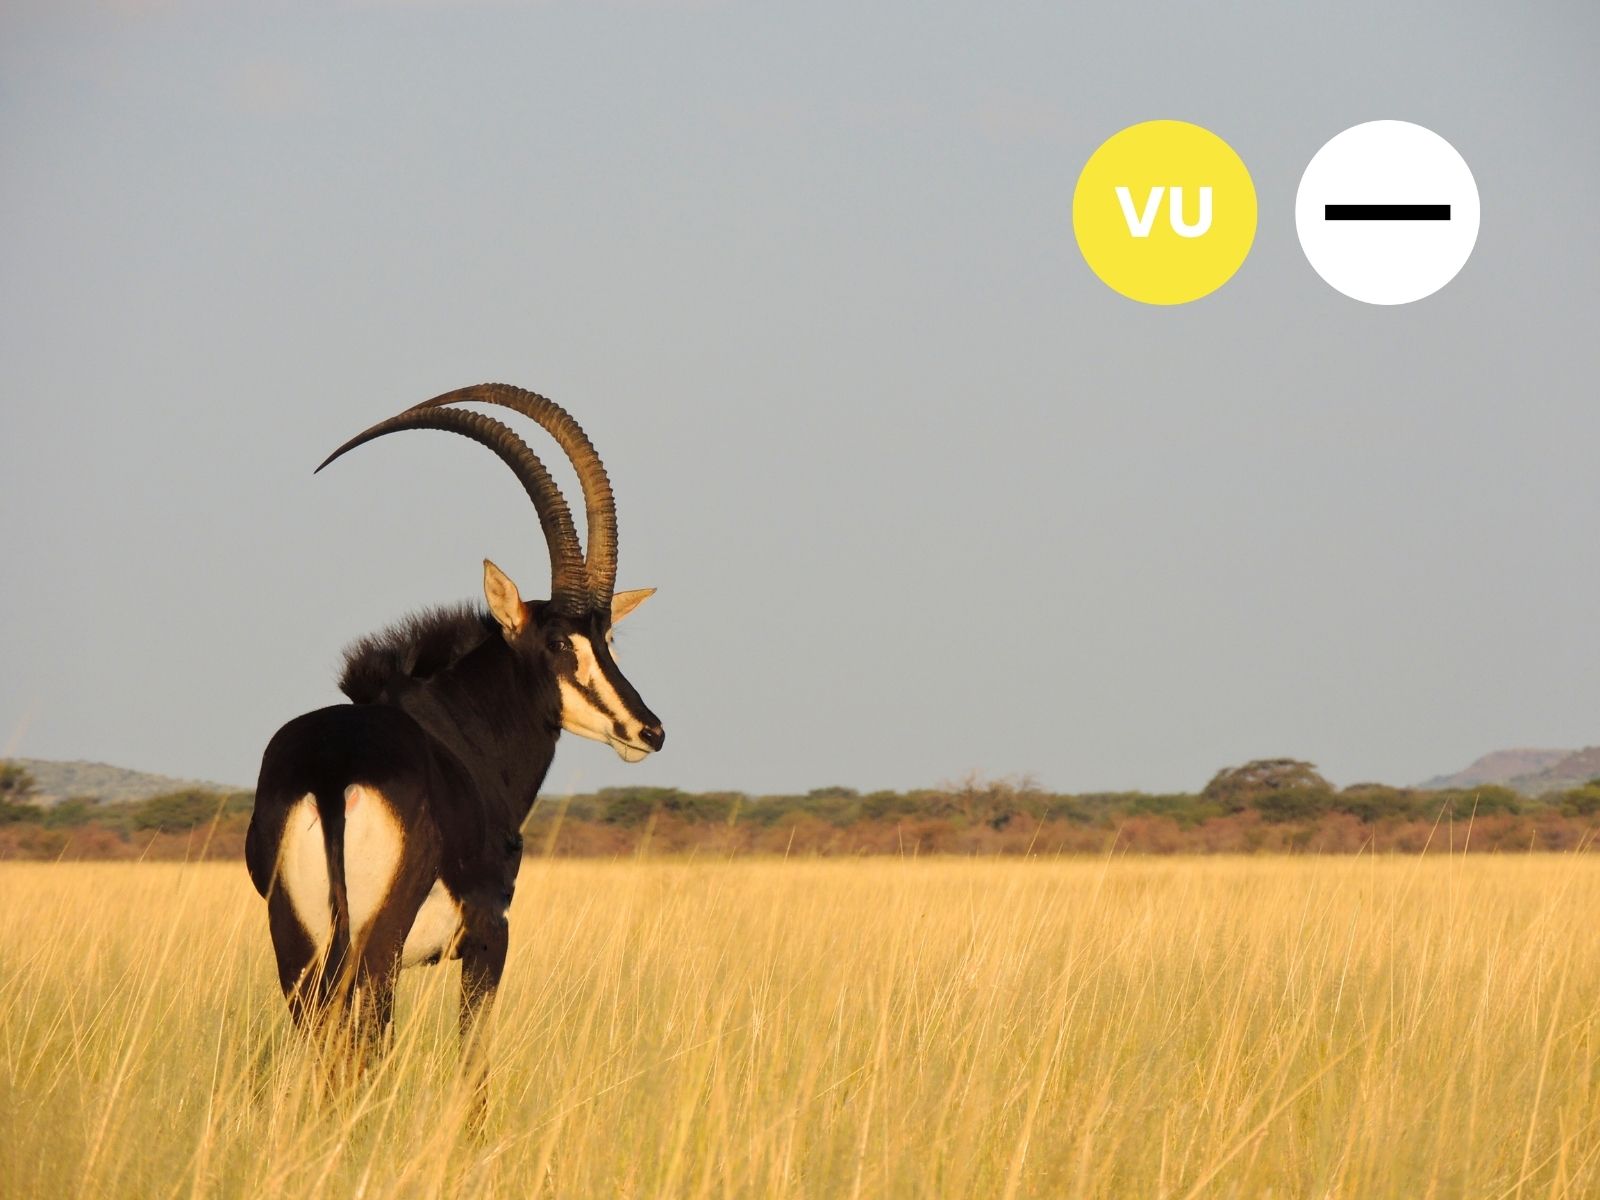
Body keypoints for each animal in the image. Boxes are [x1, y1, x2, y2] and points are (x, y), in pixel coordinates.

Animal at [244, 384, 664, 1090]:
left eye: (606, 637)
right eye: (558, 642)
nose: (648, 730)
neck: (458, 733)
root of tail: (330, 772)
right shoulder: (489, 937)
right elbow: (474, 1070)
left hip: (299, 954)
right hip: (375, 952)